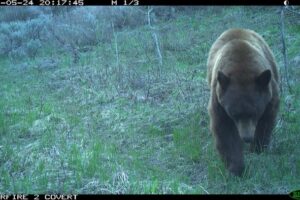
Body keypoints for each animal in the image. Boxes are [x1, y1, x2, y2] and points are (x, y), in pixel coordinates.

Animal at [207, 28, 280, 177]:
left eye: (255, 113)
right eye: (235, 114)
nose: (246, 138)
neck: (242, 68)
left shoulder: (269, 94)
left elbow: (266, 120)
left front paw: (258, 148)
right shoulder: (219, 100)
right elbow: (225, 129)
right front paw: (236, 169)